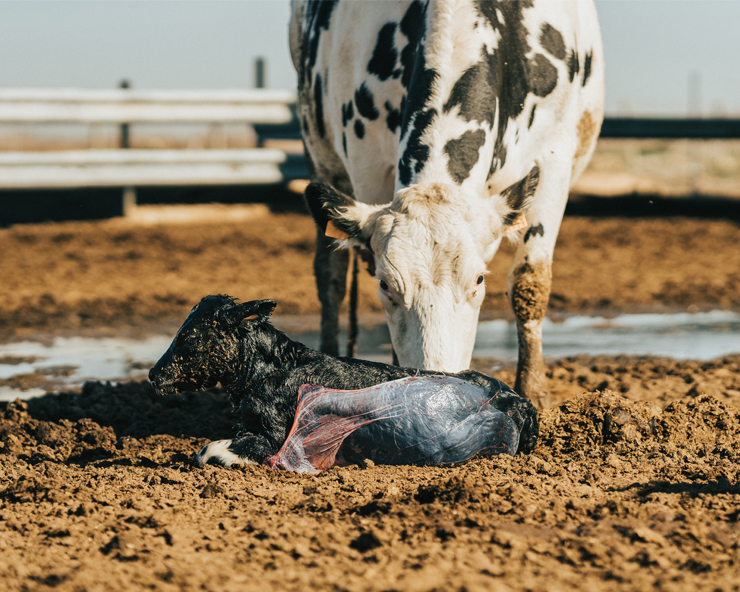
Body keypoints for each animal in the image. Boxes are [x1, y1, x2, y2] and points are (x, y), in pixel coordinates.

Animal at [290, 0, 600, 408]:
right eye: (386, 285)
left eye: (479, 280)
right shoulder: (366, 162)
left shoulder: (555, 155)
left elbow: (529, 283)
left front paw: (535, 391)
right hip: (319, 149)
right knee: (331, 276)